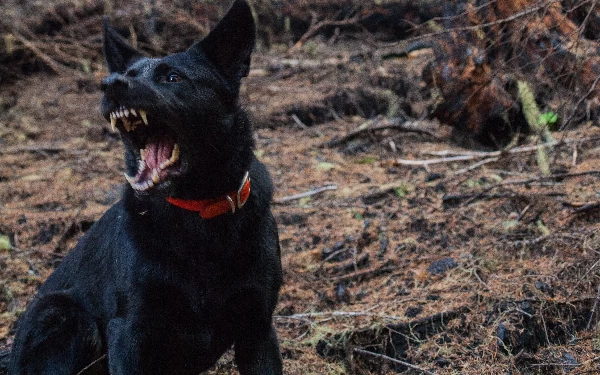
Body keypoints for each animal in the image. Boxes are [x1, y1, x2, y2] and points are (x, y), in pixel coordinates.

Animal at [7, 1, 284, 374]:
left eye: (173, 77)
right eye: (130, 73)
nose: (110, 84)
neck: (197, 212)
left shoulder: (258, 330)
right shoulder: (129, 330)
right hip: (65, 316)